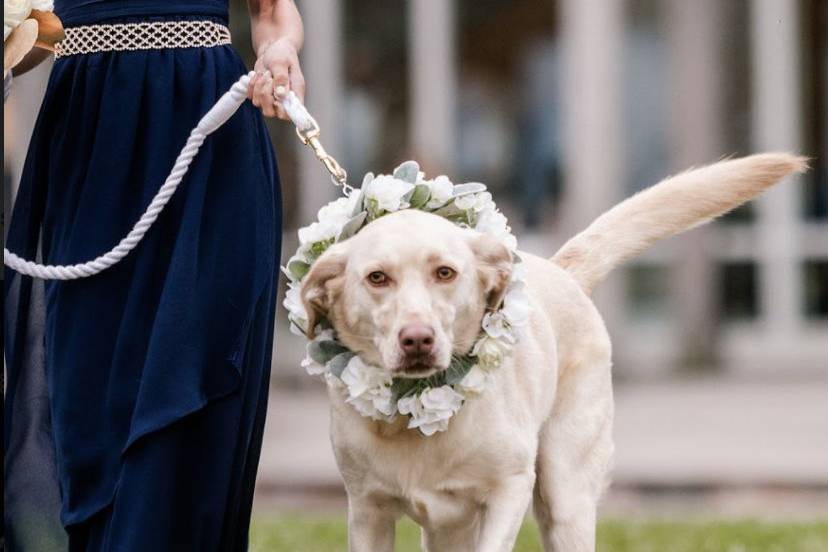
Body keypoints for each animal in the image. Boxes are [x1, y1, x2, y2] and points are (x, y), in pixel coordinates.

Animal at [300, 152, 804, 552]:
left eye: (445, 272)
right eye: (377, 277)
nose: (418, 339)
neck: (414, 419)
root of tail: (563, 270)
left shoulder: (510, 489)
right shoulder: (367, 510)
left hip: (565, 492)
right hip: (451, 528)